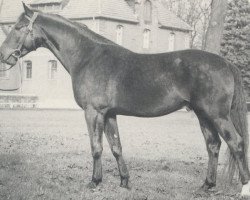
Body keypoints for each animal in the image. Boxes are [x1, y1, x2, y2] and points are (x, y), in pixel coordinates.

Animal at [0, 3, 250, 197]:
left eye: (19, 27)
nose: (4, 55)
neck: (88, 57)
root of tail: (226, 63)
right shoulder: (110, 114)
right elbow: (116, 147)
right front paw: (124, 182)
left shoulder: (93, 112)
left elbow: (97, 147)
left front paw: (95, 182)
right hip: (202, 114)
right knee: (213, 145)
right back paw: (206, 186)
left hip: (217, 115)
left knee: (236, 143)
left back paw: (243, 188)